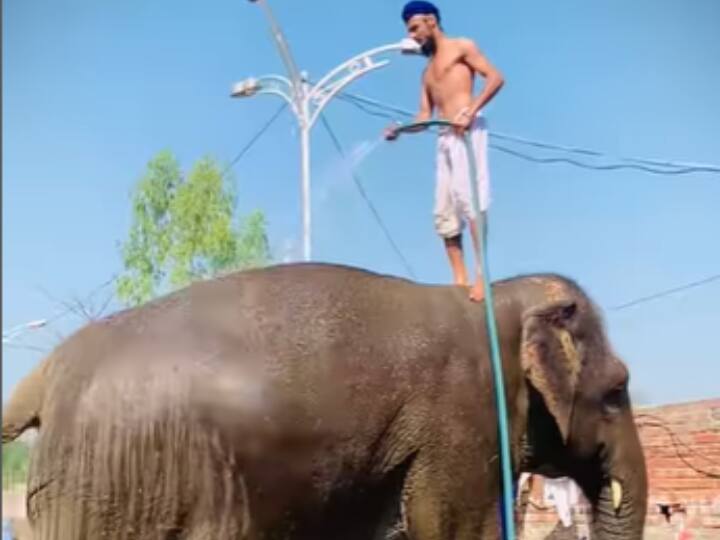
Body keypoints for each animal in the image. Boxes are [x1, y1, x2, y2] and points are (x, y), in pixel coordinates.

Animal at [2, 262, 647, 539]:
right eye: (617, 390)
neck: (499, 296)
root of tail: (44, 374)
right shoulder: (462, 419)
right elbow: (459, 529)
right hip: (114, 486)